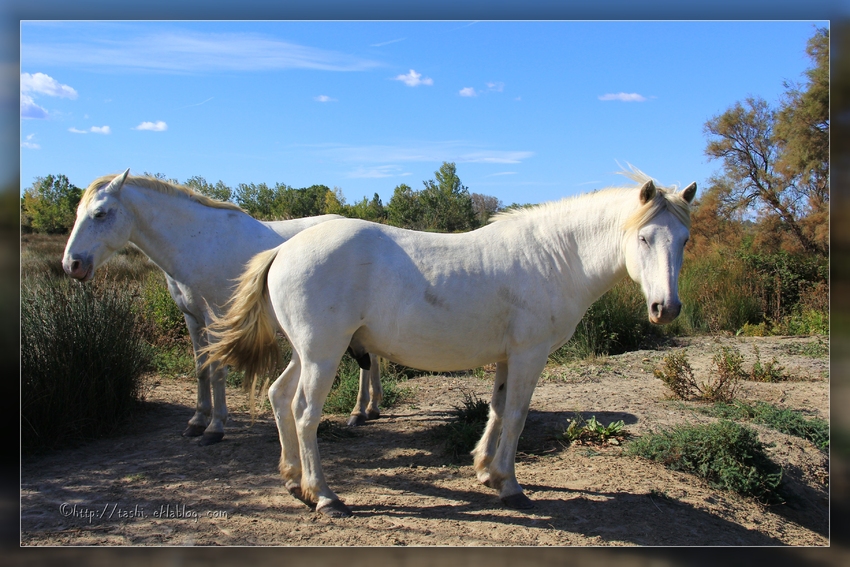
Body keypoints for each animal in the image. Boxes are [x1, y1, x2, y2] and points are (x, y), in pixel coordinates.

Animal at [59, 171, 378, 446]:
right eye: (77, 214)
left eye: (100, 213)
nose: (72, 264)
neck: (197, 242)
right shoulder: (192, 319)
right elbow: (201, 369)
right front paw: (197, 421)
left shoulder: (216, 318)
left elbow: (217, 372)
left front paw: (215, 427)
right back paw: (371, 408)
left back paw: (358, 410)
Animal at [205, 168, 696, 516]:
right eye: (644, 237)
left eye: (685, 240)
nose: (666, 308)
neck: (554, 257)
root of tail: (282, 251)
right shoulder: (529, 355)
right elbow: (516, 417)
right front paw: (511, 486)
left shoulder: (507, 357)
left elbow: (497, 410)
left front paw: (485, 471)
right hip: (323, 355)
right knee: (305, 413)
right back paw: (324, 496)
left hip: (306, 354)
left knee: (278, 397)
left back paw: (293, 482)